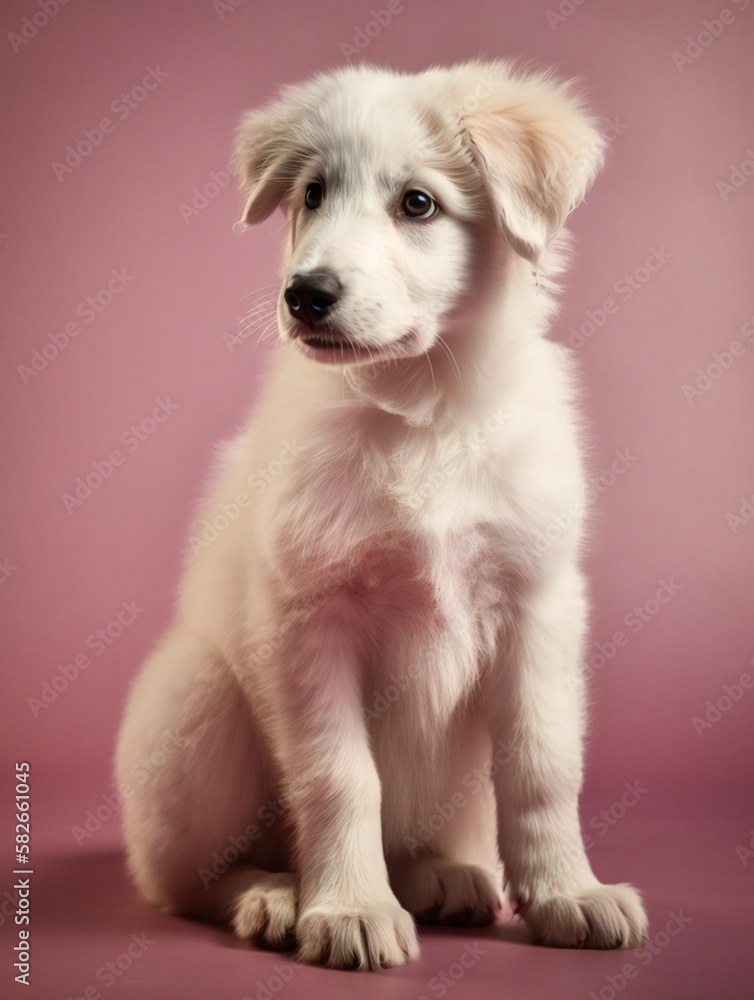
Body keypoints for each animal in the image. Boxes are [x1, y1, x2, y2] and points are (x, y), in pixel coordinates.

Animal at [116, 60, 648, 968]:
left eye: (418, 204)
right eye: (313, 194)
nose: (305, 295)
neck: (422, 413)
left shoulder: (537, 604)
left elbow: (542, 764)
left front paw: (568, 894)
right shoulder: (307, 618)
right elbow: (340, 777)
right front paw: (349, 908)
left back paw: (438, 875)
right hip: (199, 700)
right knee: (189, 881)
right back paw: (274, 894)